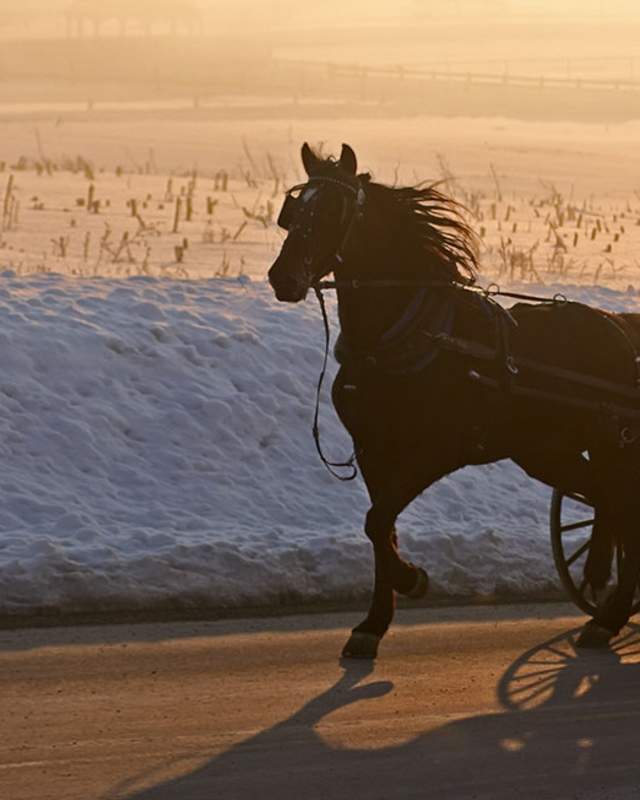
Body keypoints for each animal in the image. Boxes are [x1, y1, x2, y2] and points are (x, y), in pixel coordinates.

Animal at [268, 142, 640, 659]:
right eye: (294, 211)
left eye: (332, 211)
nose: (281, 278)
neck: (403, 337)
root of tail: (618, 326)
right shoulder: (373, 452)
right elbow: (381, 528)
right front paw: (373, 623)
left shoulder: (438, 451)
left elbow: (376, 521)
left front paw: (413, 581)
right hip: (549, 452)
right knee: (609, 503)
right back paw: (600, 590)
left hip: (605, 444)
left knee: (624, 507)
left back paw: (608, 617)